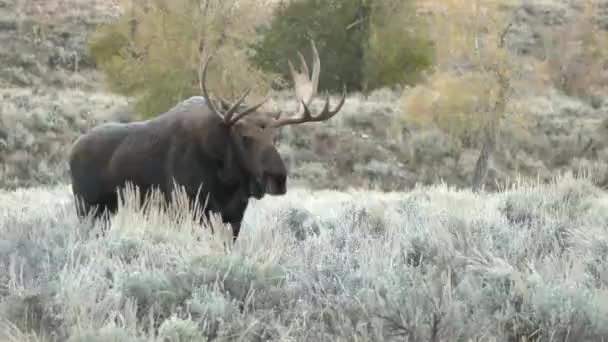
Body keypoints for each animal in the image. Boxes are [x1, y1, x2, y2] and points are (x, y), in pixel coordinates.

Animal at [68, 39, 344, 240]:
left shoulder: (234, 216)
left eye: (275, 137)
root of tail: (71, 152)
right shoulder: (187, 209)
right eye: (245, 137)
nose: (278, 178)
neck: (228, 178)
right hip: (87, 208)